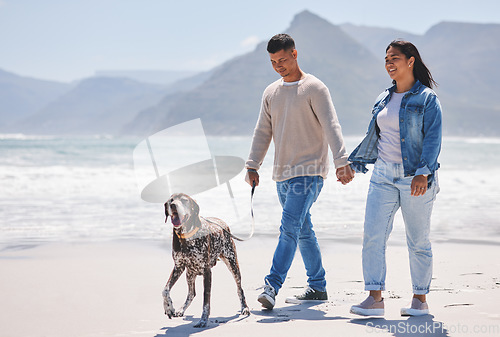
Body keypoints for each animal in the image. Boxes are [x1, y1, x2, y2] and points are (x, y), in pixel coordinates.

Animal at [163, 193, 250, 326]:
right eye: (171, 200)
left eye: (184, 200)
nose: (173, 205)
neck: (187, 237)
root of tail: (222, 223)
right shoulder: (178, 267)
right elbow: (165, 289)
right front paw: (169, 307)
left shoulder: (207, 272)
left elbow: (206, 299)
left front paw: (203, 319)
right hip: (189, 273)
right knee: (191, 293)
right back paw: (181, 309)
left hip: (233, 264)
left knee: (240, 288)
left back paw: (244, 307)